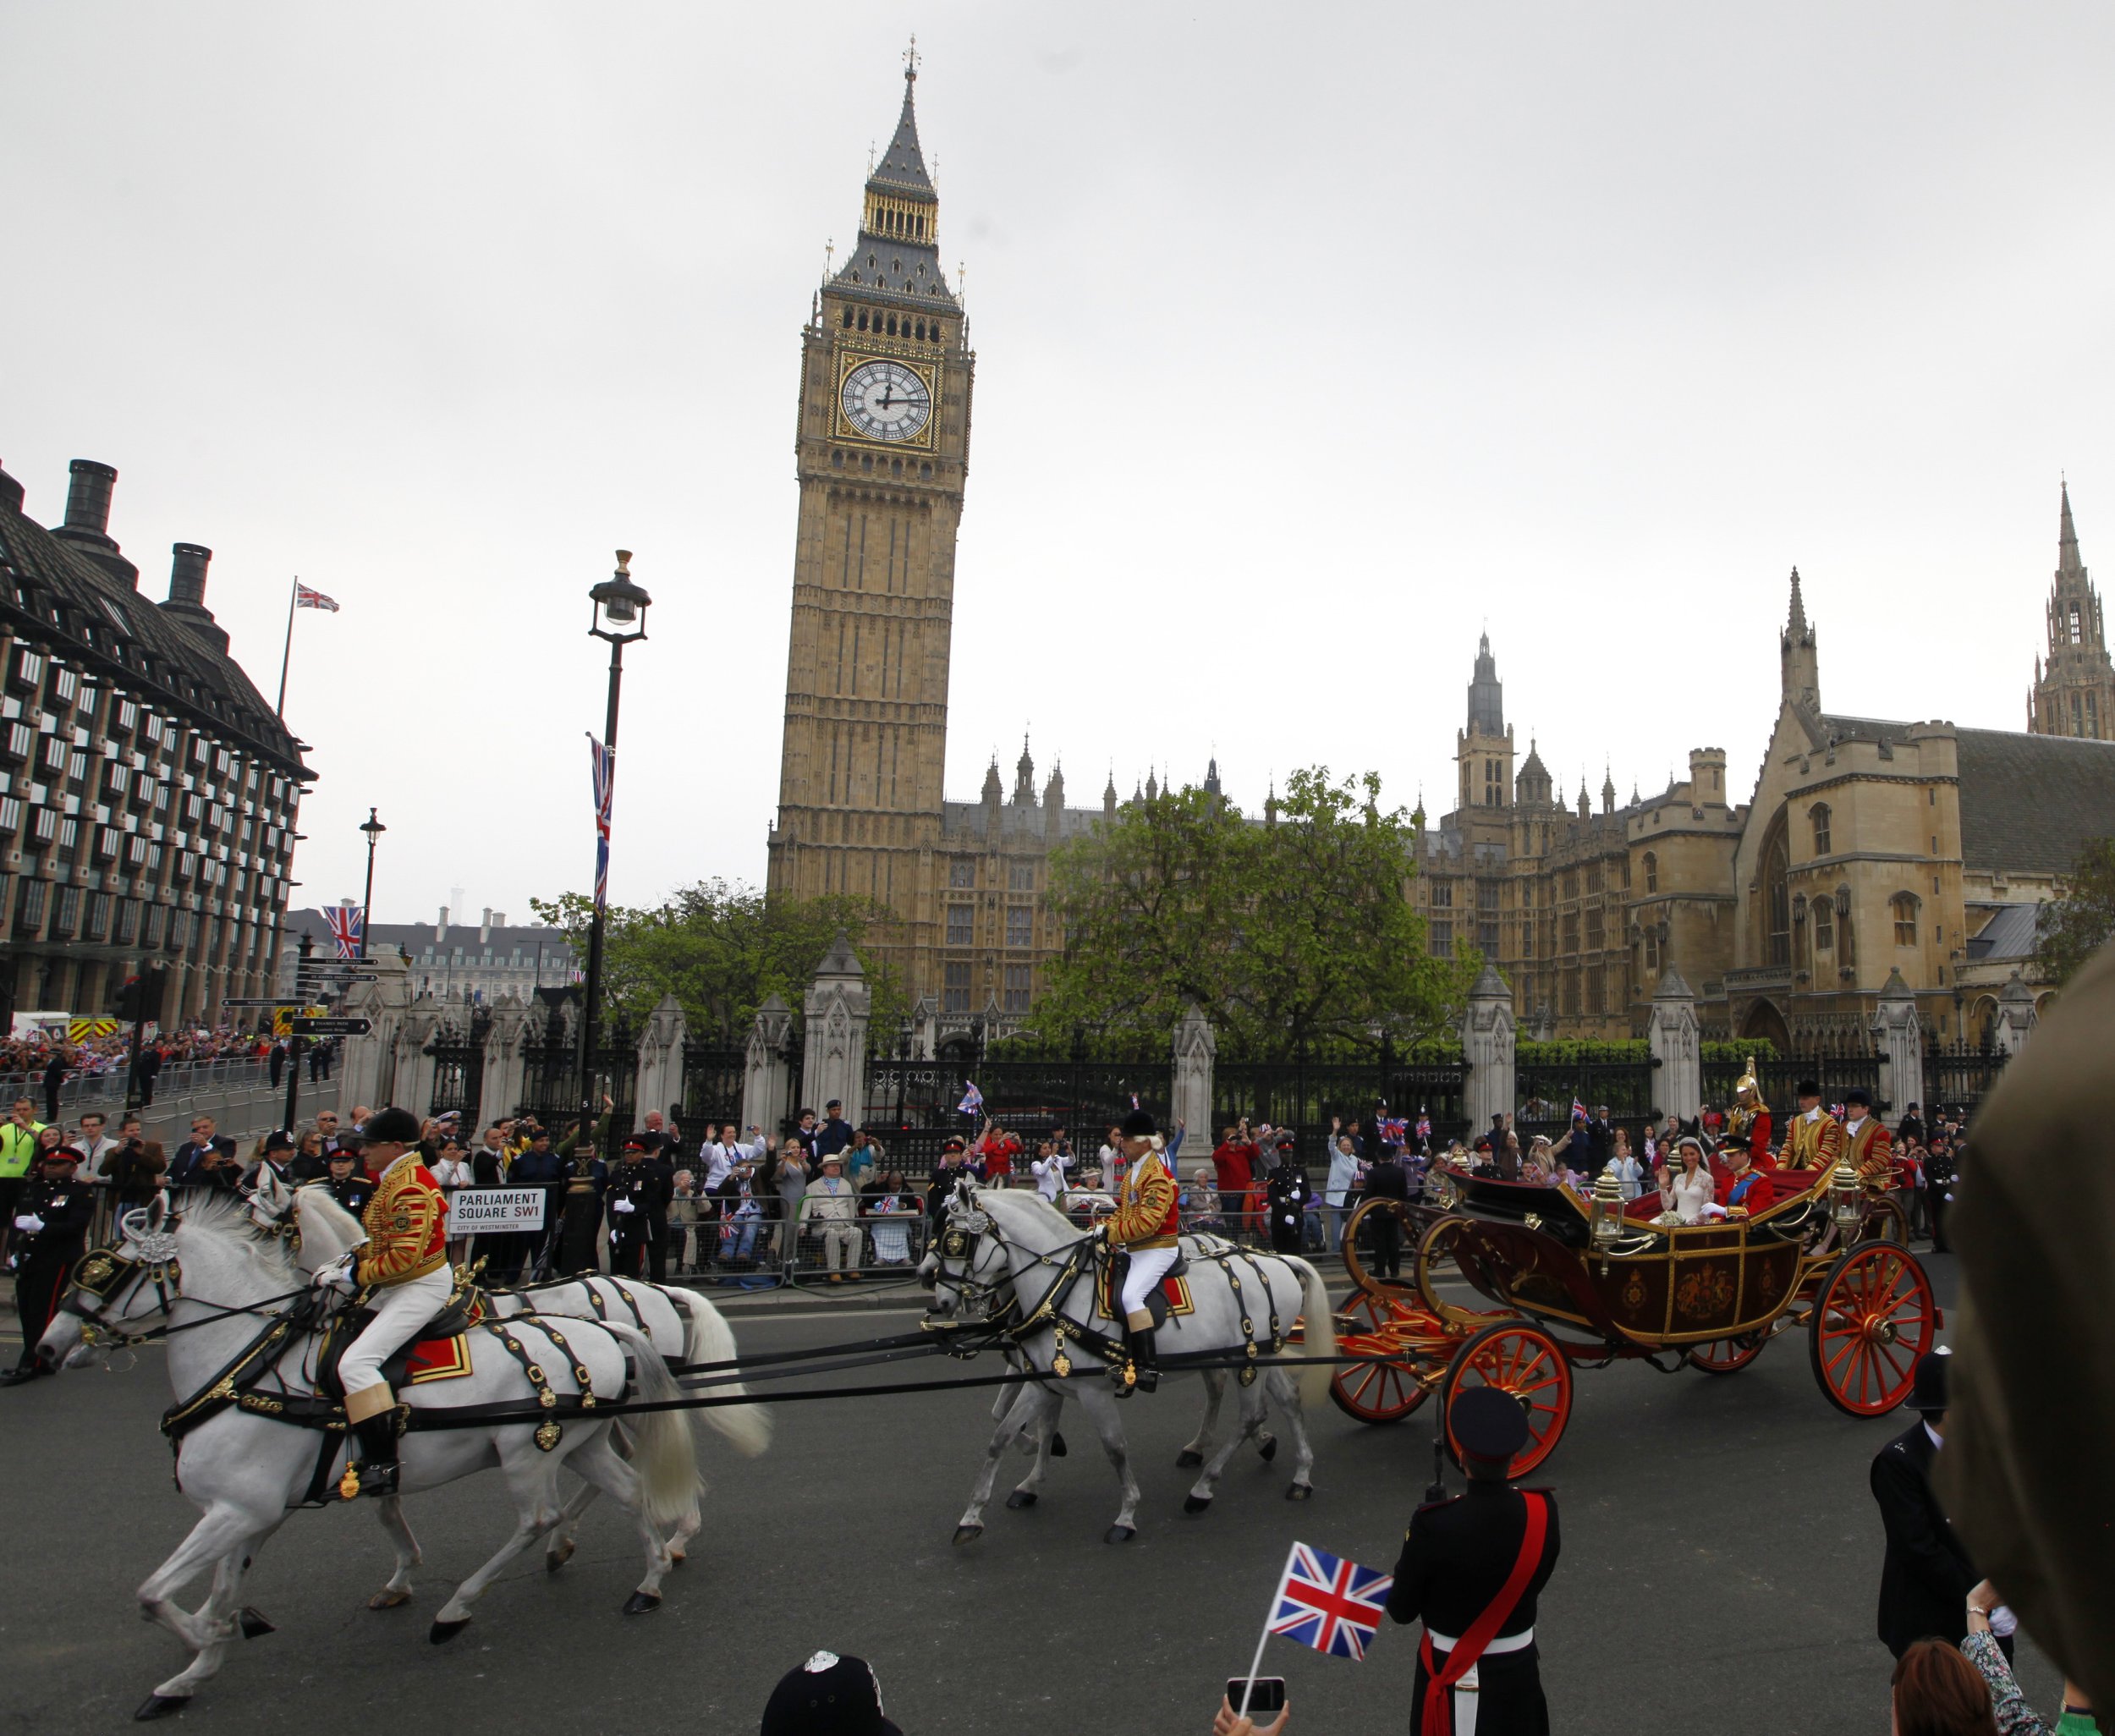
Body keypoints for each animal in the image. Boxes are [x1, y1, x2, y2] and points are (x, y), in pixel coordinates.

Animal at [39, 1184, 702, 1717]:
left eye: (107, 1272)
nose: (49, 1347)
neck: (255, 1368)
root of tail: (645, 1295)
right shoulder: (262, 1504)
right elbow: (354, 1518)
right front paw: (201, 1660)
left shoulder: (245, 1504)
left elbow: (157, 1594)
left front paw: (209, 1637)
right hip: (583, 1436)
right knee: (624, 1486)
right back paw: (639, 1572)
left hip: (532, 1450)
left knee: (546, 1513)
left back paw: (468, 1605)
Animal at [918, 1184, 1328, 1539]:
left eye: (955, 1239)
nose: (932, 1287)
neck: (1061, 1291)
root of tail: (1276, 1260)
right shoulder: (1044, 1381)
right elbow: (1001, 1435)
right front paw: (975, 1513)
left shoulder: (1092, 1390)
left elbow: (1114, 1448)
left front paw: (1126, 1513)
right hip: (1256, 1356)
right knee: (1284, 1400)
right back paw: (1301, 1474)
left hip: (1247, 1361)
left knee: (1250, 1416)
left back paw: (1203, 1488)